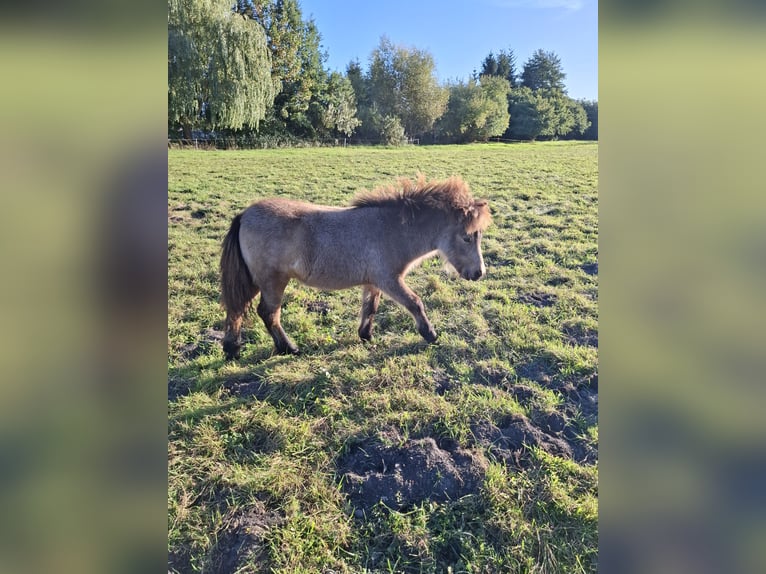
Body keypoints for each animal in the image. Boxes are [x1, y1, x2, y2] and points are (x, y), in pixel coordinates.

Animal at [219, 175, 491, 359]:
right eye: (467, 237)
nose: (479, 273)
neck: (393, 229)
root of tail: (244, 215)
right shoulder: (389, 279)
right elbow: (415, 302)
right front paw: (430, 334)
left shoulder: (373, 282)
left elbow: (370, 308)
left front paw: (366, 336)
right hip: (272, 281)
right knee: (268, 313)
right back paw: (288, 348)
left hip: (256, 281)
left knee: (238, 310)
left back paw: (232, 349)